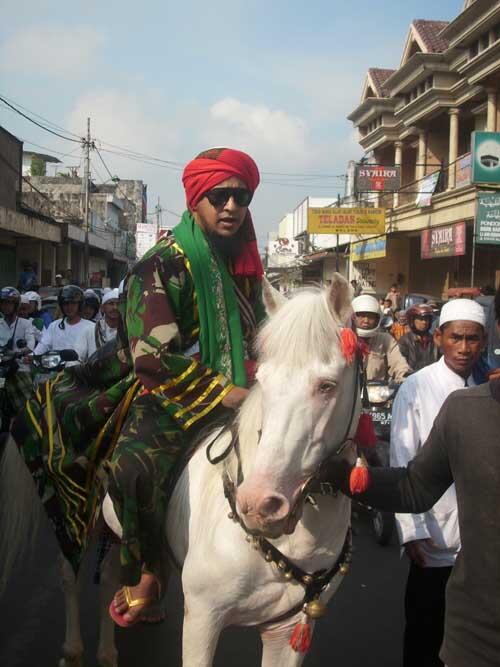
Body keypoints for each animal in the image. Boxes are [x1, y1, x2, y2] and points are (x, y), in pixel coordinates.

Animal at [0, 274, 360, 664]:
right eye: (262, 379)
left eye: (327, 386)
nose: (259, 504)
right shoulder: (203, 617)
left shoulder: (289, 632)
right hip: (75, 514)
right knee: (69, 574)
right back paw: (74, 649)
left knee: (110, 576)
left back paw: (110, 647)